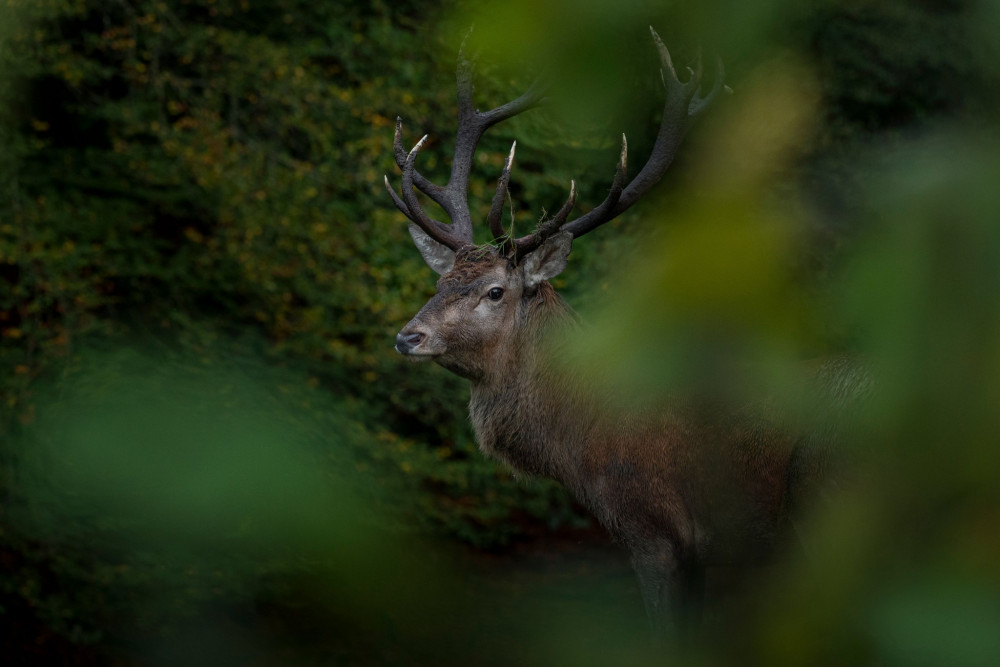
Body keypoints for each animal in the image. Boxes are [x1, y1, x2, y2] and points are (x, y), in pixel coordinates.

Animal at [386, 30, 816, 636]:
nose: (409, 337)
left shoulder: (654, 528)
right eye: (441, 280)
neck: (587, 450)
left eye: (495, 291)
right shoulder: (695, 553)